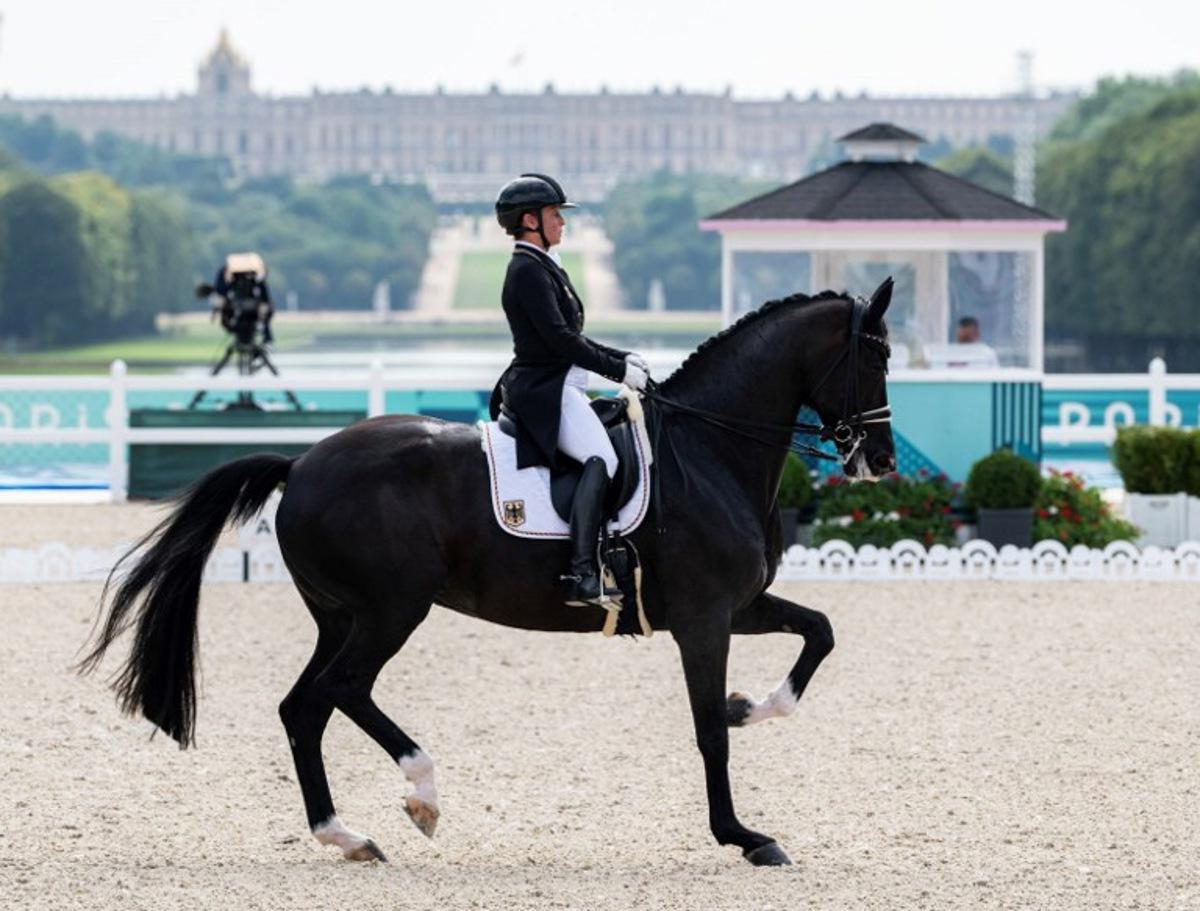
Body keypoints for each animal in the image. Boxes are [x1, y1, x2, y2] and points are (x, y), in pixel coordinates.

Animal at [80, 279, 896, 868]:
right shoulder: (702, 619)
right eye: (875, 357)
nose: (880, 462)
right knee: (341, 691)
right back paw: (422, 794)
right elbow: (707, 736)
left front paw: (743, 705)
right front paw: (745, 834)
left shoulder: (739, 604)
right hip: (390, 610)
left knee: (304, 707)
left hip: (341, 615)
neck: (709, 450)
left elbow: (818, 634)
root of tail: (302, 462)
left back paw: (346, 835)